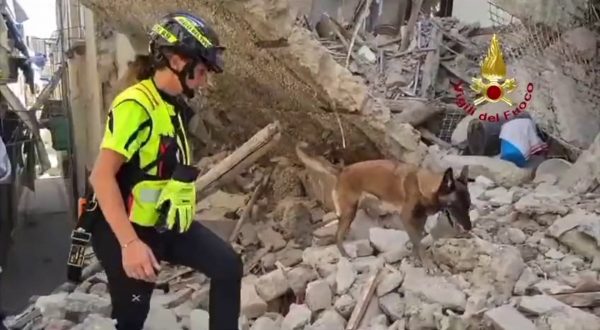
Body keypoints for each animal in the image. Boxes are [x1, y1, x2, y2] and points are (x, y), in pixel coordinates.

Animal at [296, 143, 474, 270]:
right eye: (457, 206)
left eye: (468, 206)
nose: (469, 228)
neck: (424, 186)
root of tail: (342, 170)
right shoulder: (407, 218)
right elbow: (419, 243)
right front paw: (427, 264)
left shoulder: (419, 220)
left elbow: (416, 240)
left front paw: (415, 259)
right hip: (349, 212)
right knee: (337, 236)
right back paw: (345, 255)